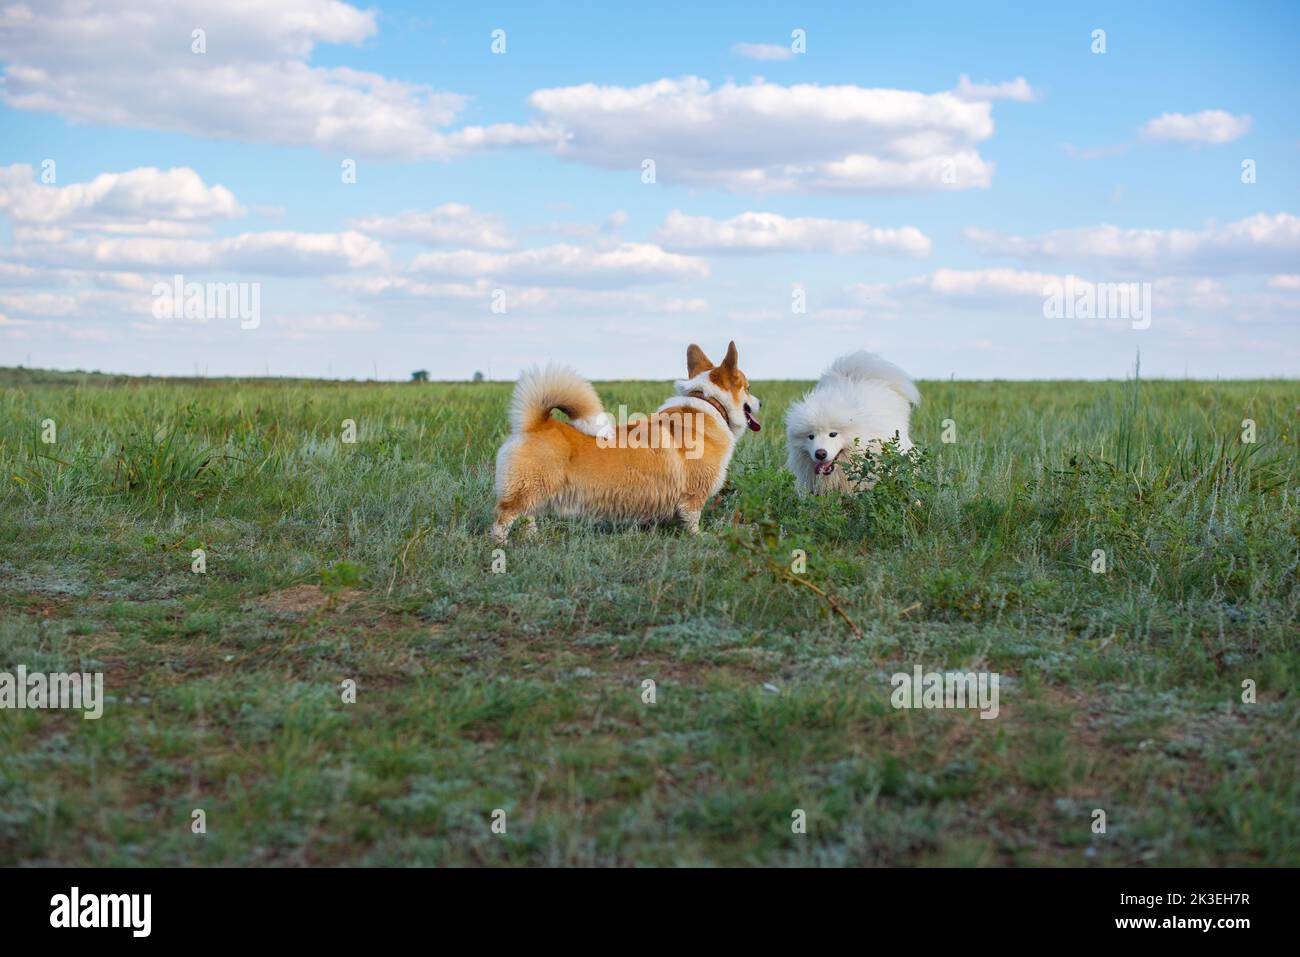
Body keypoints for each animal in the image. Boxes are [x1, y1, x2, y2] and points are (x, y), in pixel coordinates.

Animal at [493, 343, 759, 538]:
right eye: (748, 387)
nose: (760, 403)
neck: (710, 403)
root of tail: (537, 422)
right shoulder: (693, 496)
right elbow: (692, 520)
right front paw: (699, 538)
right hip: (526, 489)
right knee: (504, 517)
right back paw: (501, 544)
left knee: (527, 516)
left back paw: (532, 538)